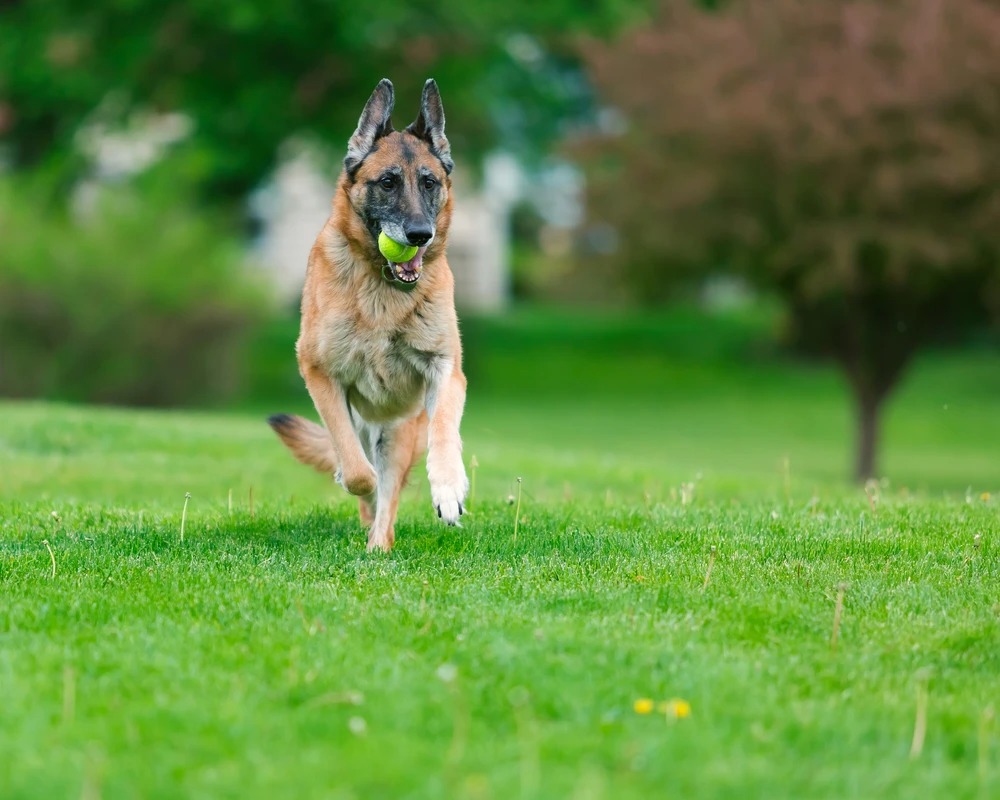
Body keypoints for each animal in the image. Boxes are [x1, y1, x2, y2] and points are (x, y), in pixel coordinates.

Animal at [266, 81, 468, 552]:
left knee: (388, 503)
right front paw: (353, 476)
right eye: (388, 182)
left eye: (429, 182)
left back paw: (379, 546)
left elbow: (444, 429)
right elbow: (357, 470)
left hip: (398, 433)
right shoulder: (321, 374)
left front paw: (449, 488)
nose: (419, 235)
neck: (385, 288)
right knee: (364, 470)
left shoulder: (446, 369)